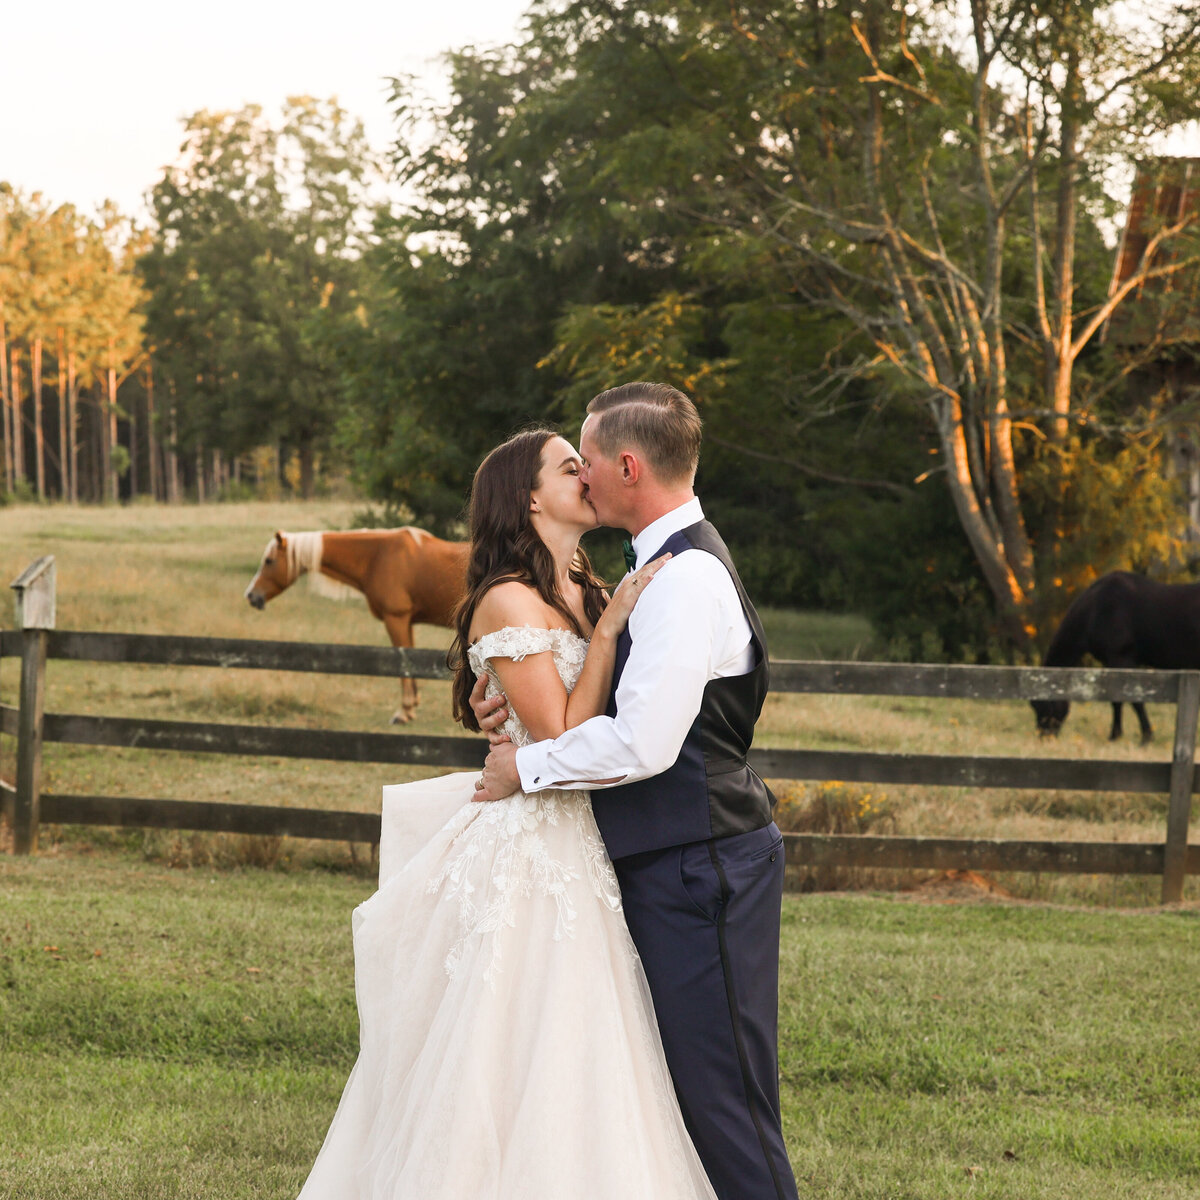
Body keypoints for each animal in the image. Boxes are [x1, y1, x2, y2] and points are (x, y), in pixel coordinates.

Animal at [243, 528, 468, 720]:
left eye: (269, 561)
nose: (251, 595)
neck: (378, 556)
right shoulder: (407, 622)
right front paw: (411, 708)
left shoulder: (396, 619)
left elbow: (404, 663)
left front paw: (404, 711)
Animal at [1027, 568, 1200, 739]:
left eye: (1044, 704)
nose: (1044, 736)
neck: (1096, 608)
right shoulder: (1111, 663)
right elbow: (1116, 699)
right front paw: (1116, 735)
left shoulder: (1122, 660)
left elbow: (1132, 700)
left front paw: (1144, 735)